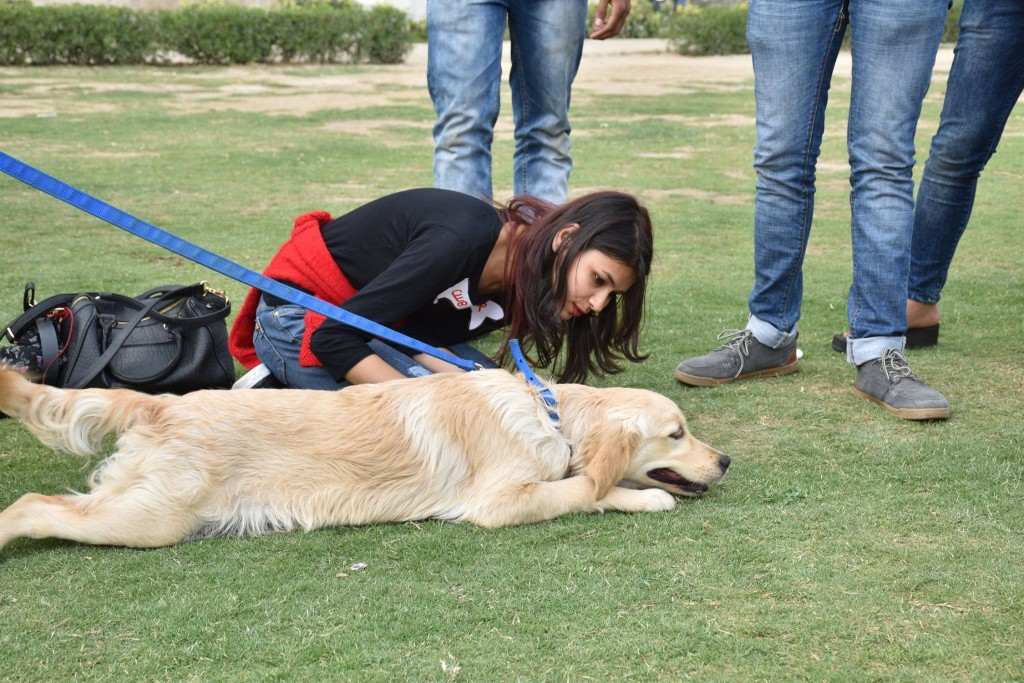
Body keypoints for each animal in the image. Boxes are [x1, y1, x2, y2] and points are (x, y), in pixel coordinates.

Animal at [0, 366, 729, 552]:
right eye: (677, 432)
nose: (724, 461)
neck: (547, 410)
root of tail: (158, 405)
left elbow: (585, 483)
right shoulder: (499, 503)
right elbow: (581, 489)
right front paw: (644, 495)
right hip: (150, 518)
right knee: (31, 505)